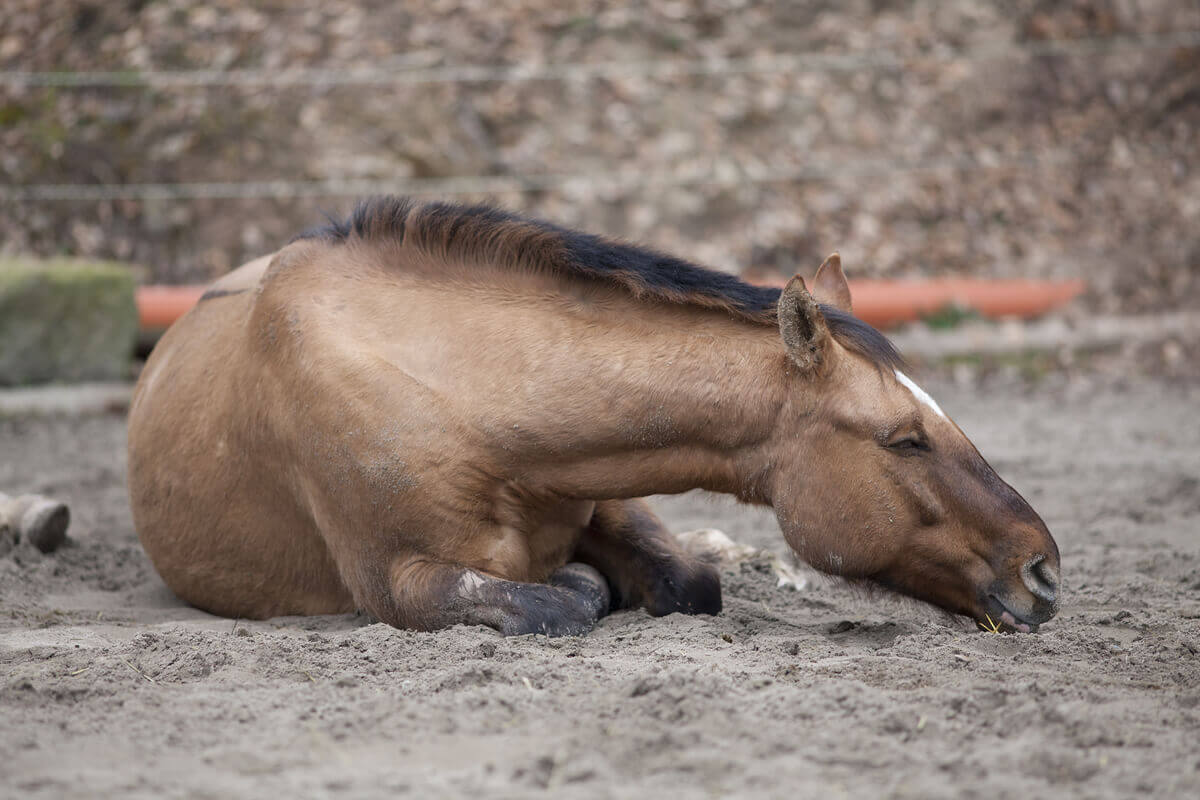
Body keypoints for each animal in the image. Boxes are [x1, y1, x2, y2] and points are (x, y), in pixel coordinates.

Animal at [127, 197, 1060, 636]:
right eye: (904, 439)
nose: (1043, 570)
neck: (462, 394)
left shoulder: (609, 489)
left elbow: (690, 581)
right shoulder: (398, 581)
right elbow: (559, 601)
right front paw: (583, 586)